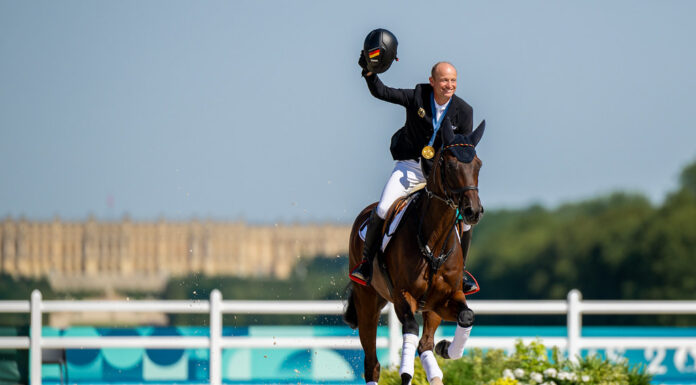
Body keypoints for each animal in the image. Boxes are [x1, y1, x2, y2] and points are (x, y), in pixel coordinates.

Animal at [342, 122, 484, 384]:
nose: (473, 211)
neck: (434, 243)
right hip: (367, 301)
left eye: (478, 164)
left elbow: (466, 317)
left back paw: (436, 370)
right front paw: (407, 373)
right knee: (372, 363)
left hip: (429, 308)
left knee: (424, 345)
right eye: (450, 165)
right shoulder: (402, 297)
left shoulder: (446, 298)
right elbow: (409, 330)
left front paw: (446, 348)